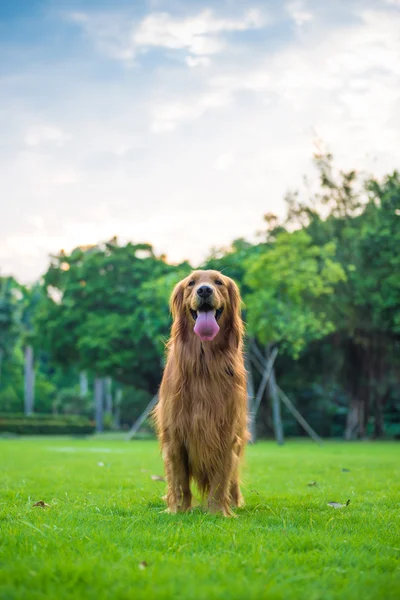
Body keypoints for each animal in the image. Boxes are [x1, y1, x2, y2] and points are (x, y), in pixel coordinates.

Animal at [155, 270, 248, 516]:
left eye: (218, 282)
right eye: (191, 283)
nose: (204, 290)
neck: (204, 363)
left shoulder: (225, 431)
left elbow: (221, 479)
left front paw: (218, 512)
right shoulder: (175, 434)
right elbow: (178, 481)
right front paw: (177, 510)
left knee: (233, 479)